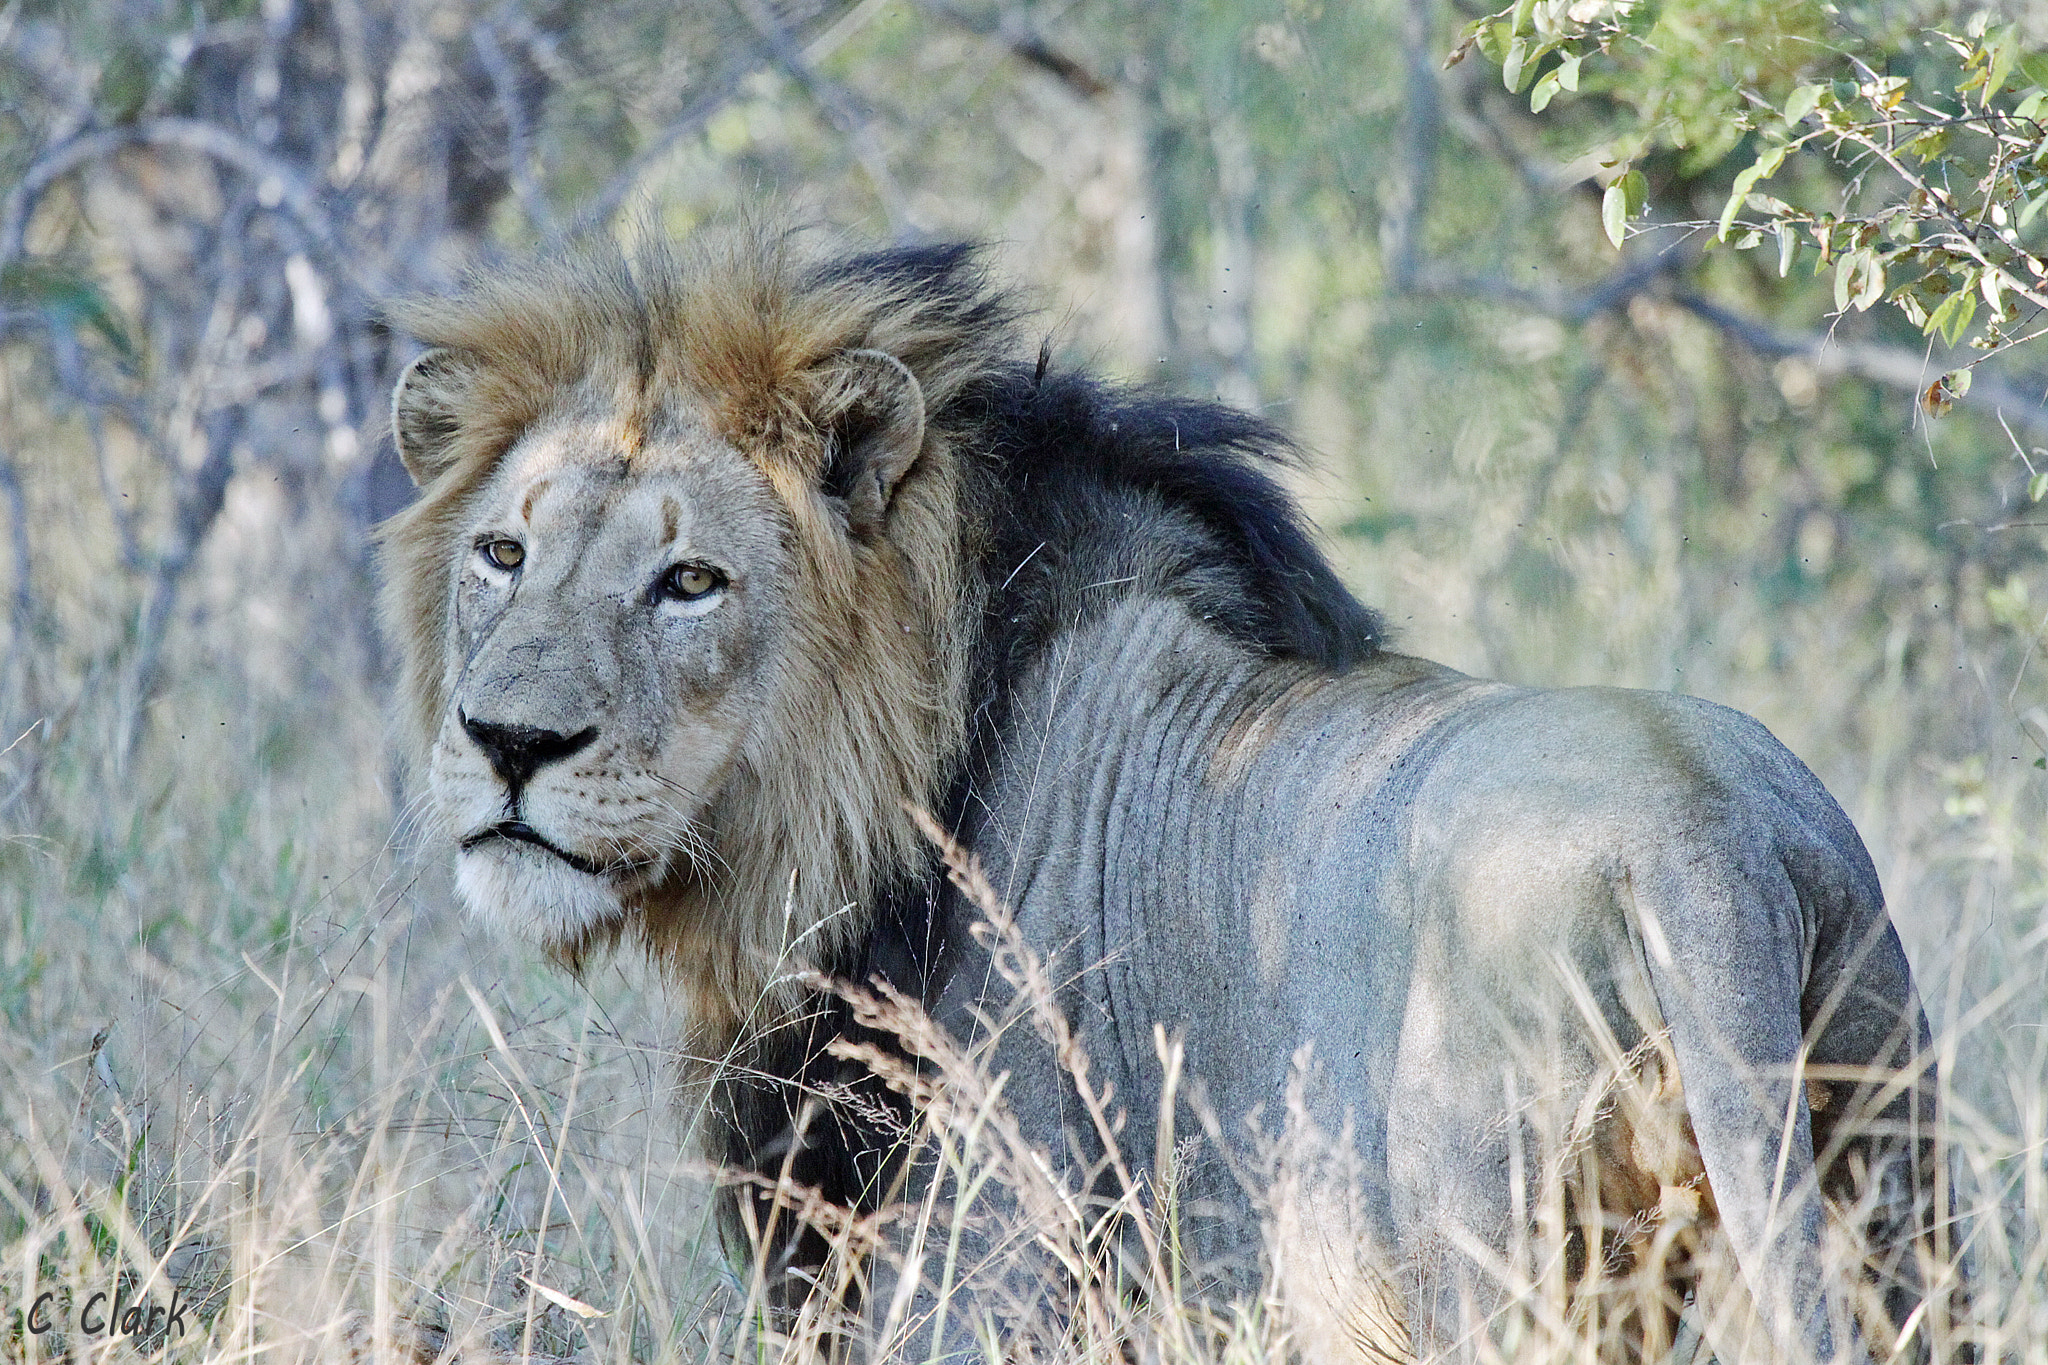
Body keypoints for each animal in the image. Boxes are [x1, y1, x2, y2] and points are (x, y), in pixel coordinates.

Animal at [379, 227, 1958, 1362]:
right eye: (503, 555)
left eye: (689, 581)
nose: (507, 739)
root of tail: (1707, 840)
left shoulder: (982, 1273)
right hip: (1889, 1190)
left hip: (1499, 1251)